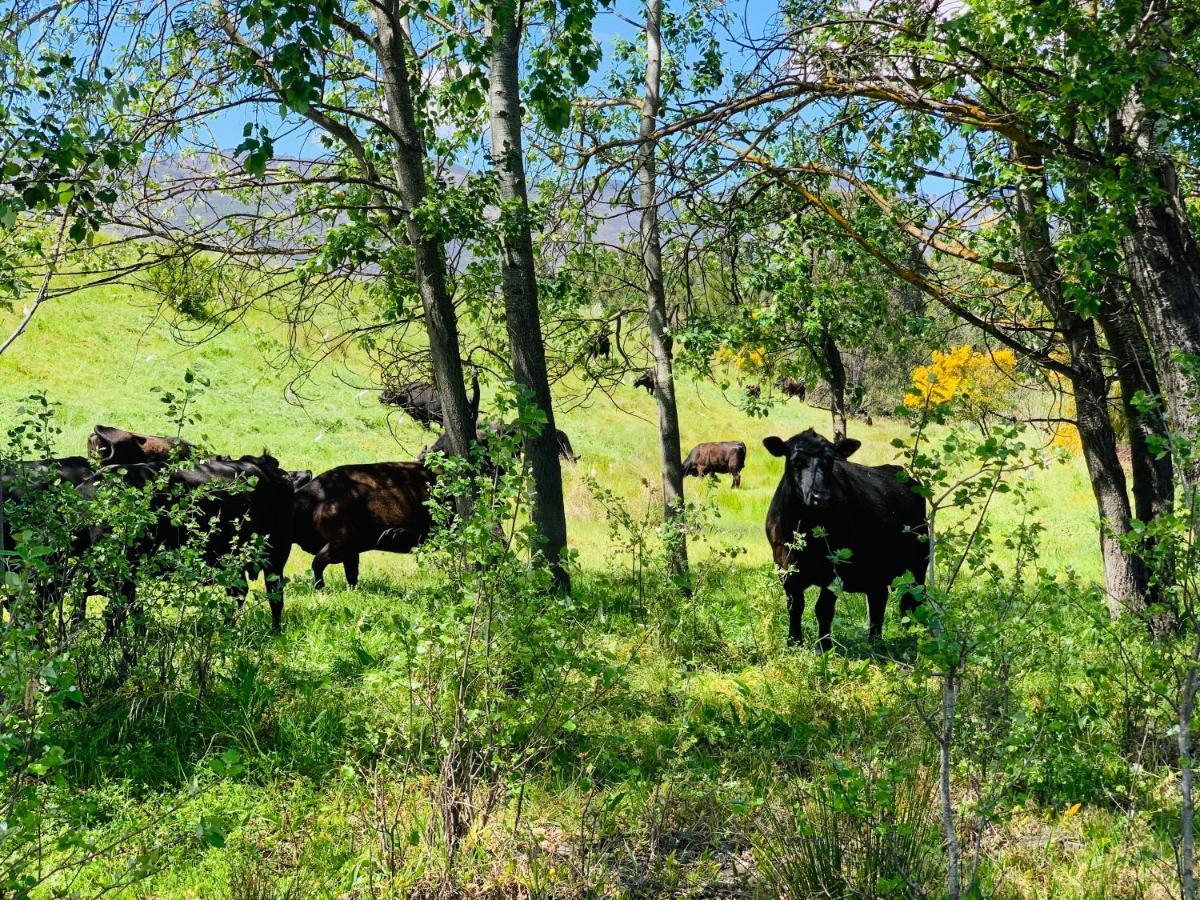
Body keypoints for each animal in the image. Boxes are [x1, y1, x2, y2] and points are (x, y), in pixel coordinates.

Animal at [290, 465, 436, 592]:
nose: (307, 471)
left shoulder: (340, 543)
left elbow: (317, 563)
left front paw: (320, 588)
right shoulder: (351, 550)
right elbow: (351, 575)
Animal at [763, 432, 921, 652]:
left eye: (830, 461)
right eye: (796, 461)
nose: (820, 497)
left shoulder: (835, 567)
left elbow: (823, 608)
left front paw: (823, 646)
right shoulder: (784, 565)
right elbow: (795, 605)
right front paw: (794, 642)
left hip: (918, 565)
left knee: (912, 601)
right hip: (876, 571)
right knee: (878, 598)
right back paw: (875, 641)